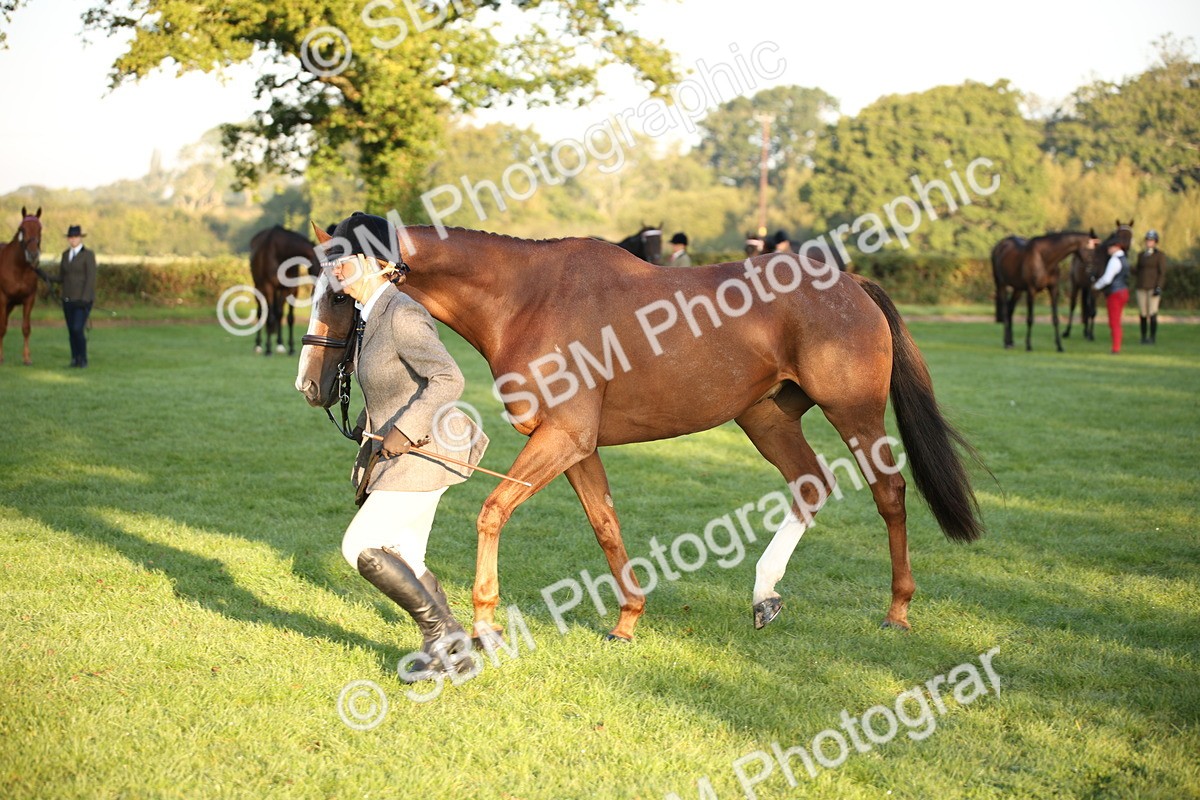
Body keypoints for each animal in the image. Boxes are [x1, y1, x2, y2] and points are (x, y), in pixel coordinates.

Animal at [0, 207, 44, 365]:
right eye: (22, 229)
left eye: (40, 229)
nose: (33, 254)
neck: (18, 268)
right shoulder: (3, 299)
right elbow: (2, 327)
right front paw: (0, 357)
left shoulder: (28, 299)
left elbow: (26, 328)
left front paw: (26, 358)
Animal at [248, 226, 320, 355]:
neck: (280, 253)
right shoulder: (268, 286)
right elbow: (269, 317)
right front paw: (268, 349)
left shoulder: (290, 289)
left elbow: (287, 317)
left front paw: (289, 348)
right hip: (259, 287)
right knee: (261, 312)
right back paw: (258, 345)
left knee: (278, 313)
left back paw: (279, 344)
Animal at [297, 224, 984, 642]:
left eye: (340, 293)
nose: (309, 382)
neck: (528, 298)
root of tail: (850, 283)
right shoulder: (576, 447)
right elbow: (605, 523)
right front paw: (627, 620)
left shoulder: (563, 438)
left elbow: (493, 511)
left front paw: (486, 622)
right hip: (764, 416)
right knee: (810, 485)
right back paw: (764, 594)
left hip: (856, 415)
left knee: (890, 495)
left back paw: (898, 609)